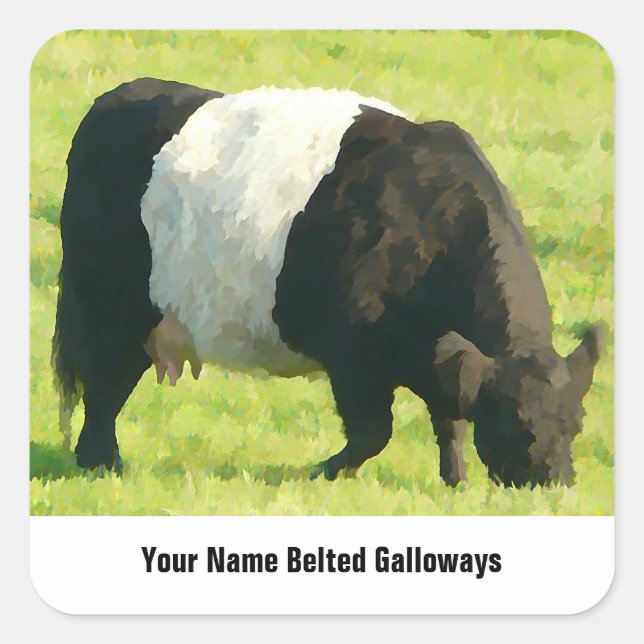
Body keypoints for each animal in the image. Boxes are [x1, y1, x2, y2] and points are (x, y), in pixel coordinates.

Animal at [52, 77, 603, 488]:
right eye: (516, 422)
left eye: (576, 423)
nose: (553, 483)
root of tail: (114, 98)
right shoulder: (354, 353)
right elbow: (372, 434)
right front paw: (317, 473)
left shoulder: (435, 355)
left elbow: (450, 420)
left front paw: (456, 482)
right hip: (107, 304)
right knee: (101, 386)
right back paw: (102, 464)